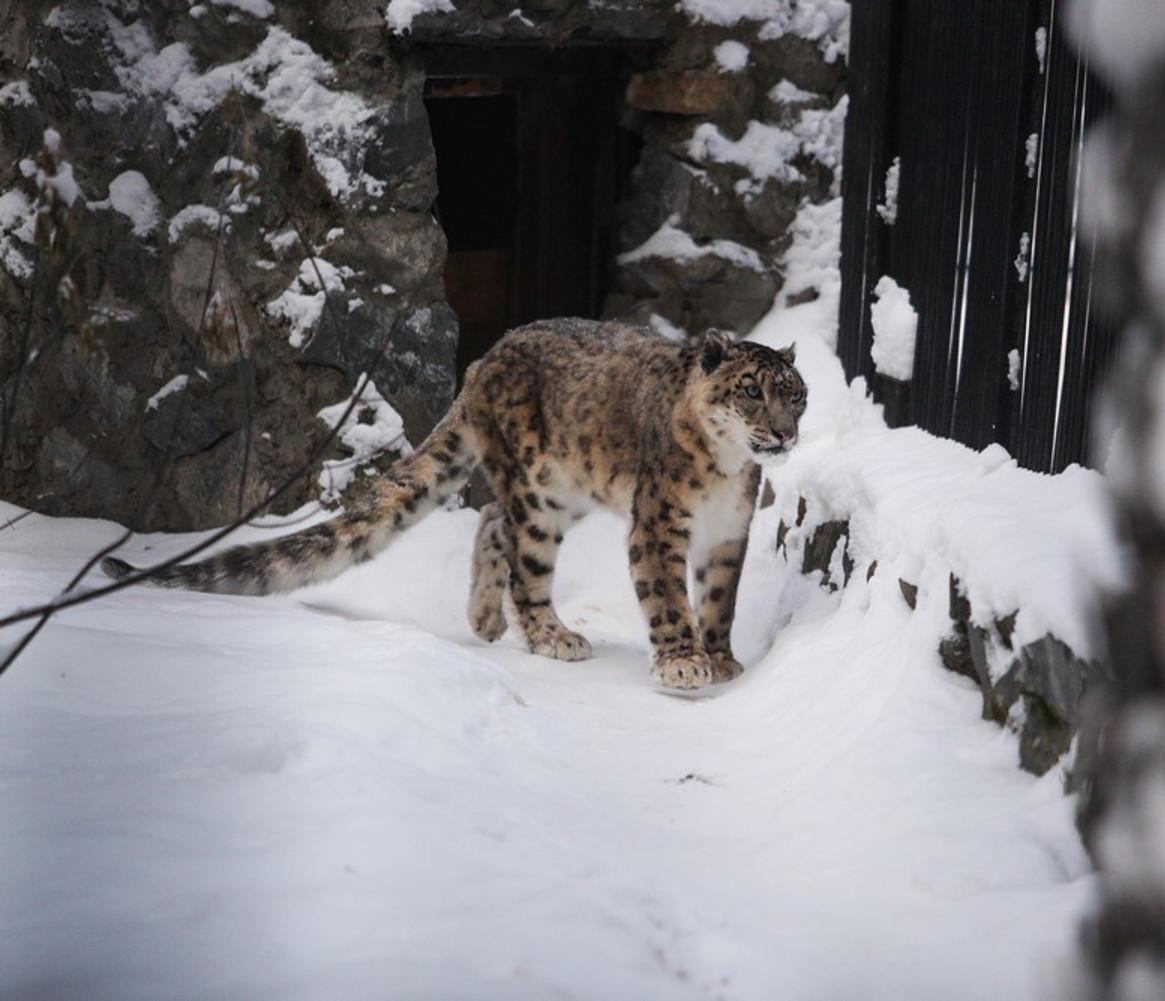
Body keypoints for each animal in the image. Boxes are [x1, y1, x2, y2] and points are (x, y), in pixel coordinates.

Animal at [104, 321, 806, 689]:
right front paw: (685, 663)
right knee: (525, 560)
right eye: (750, 391)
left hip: (563, 488)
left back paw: (485, 617)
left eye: (796, 394)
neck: (727, 472)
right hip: (537, 489)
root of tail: (484, 358)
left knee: (494, 521)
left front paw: (722, 658)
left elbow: (719, 599)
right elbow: (665, 595)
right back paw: (548, 635)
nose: (784, 434)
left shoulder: (728, 534)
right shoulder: (658, 525)